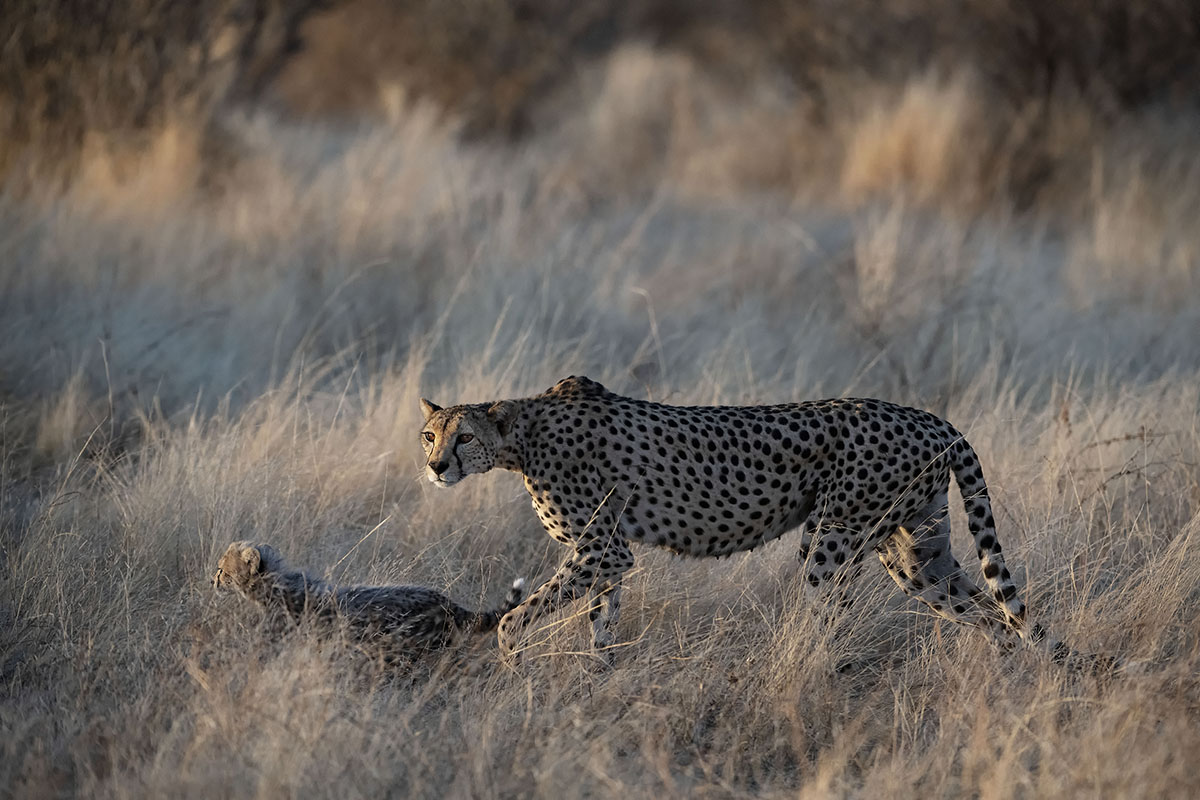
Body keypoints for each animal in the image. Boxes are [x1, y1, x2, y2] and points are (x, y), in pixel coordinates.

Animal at [417, 379, 1075, 666]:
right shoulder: (608, 556)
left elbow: (521, 617)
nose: (435, 466)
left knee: (831, 620)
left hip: (830, 540)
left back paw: (805, 675)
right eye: (429, 434)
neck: (521, 436)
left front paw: (513, 663)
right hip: (918, 553)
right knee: (993, 616)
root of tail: (935, 419)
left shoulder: (601, 549)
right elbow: (602, 623)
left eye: (464, 436)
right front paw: (597, 680)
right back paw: (999, 684)